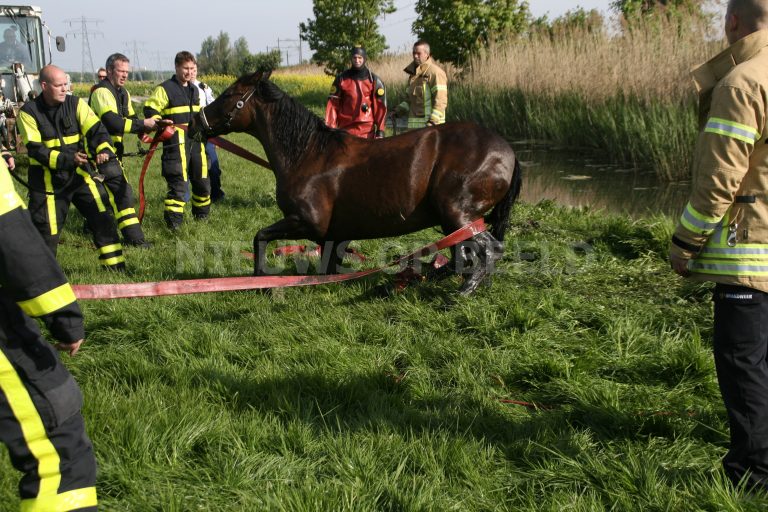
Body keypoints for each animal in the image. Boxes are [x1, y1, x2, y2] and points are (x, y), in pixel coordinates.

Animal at [188, 73, 520, 296]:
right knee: (462, 251)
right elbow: (328, 265)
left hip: (456, 213)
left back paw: (464, 290)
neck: (308, 154)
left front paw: (261, 283)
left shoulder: (308, 222)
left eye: (228, 95)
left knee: (488, 248)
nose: (193, 125)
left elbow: (260, 237)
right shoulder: (334, 234)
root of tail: (508, 151)